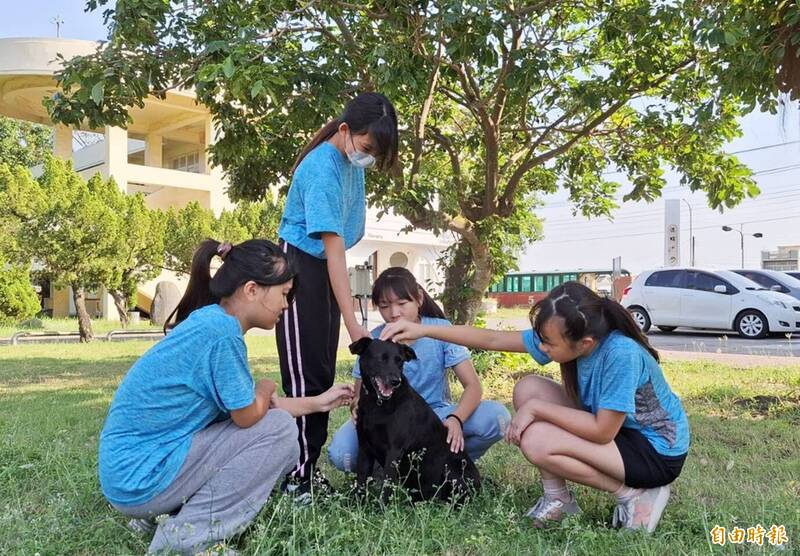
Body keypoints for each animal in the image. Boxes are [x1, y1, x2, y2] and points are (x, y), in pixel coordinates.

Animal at [346, 336, 478, 502]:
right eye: (381, 359)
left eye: (400, 361)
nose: (396, 381)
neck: (377, 403)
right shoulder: (364, 447)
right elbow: (361, 480)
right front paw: (357, 504)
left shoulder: (394, 450)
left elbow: (387, 484)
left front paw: (383, 507)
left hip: (452, 471)